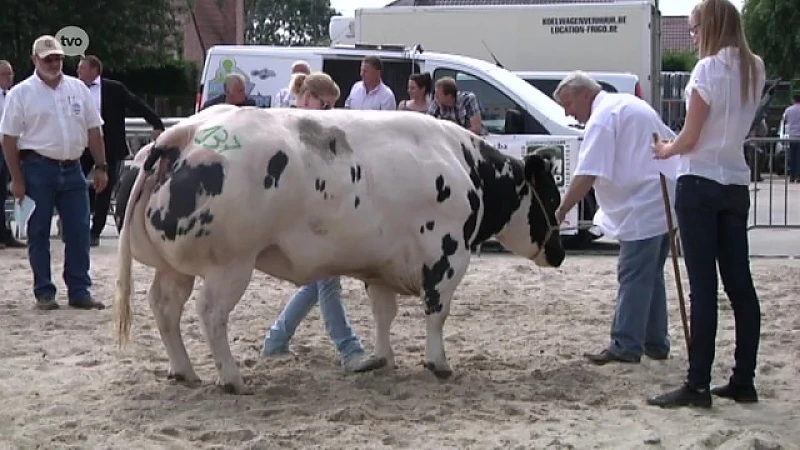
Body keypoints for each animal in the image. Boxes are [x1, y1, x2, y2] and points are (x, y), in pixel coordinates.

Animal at [115, 103, 564, 392]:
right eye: (552, 196)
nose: (559, 253)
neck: (465, 166)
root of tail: (183, 133)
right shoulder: (447, 257)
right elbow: (436, 314)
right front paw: (438, 364)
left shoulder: (380, 264)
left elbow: (383, 314)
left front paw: (382, 359)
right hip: (230, 264)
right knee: (210, 314)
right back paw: (232, 379)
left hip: (175, 268)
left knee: (165, 308)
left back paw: (184, 372)